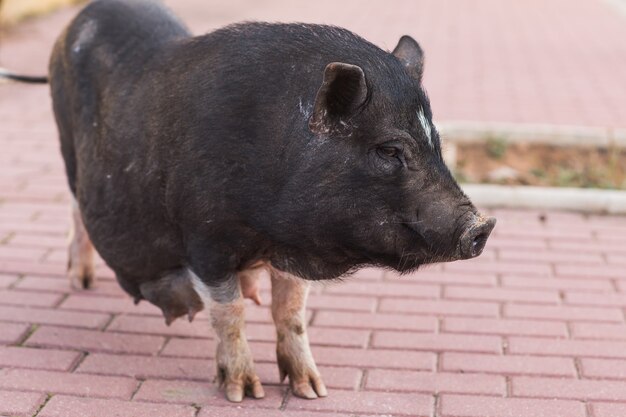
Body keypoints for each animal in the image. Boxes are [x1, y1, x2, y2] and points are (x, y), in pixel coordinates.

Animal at [48, 0, 492, 404]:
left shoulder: (293, 250)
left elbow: (291, 311)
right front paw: (244, 393)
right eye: (389, 149)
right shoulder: (204, 240)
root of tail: (76, 21)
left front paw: (313, 391)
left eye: (436, 144)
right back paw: (80, 282)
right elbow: (229, 312)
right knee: (74, 207)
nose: (482, 226)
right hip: (68, 150)